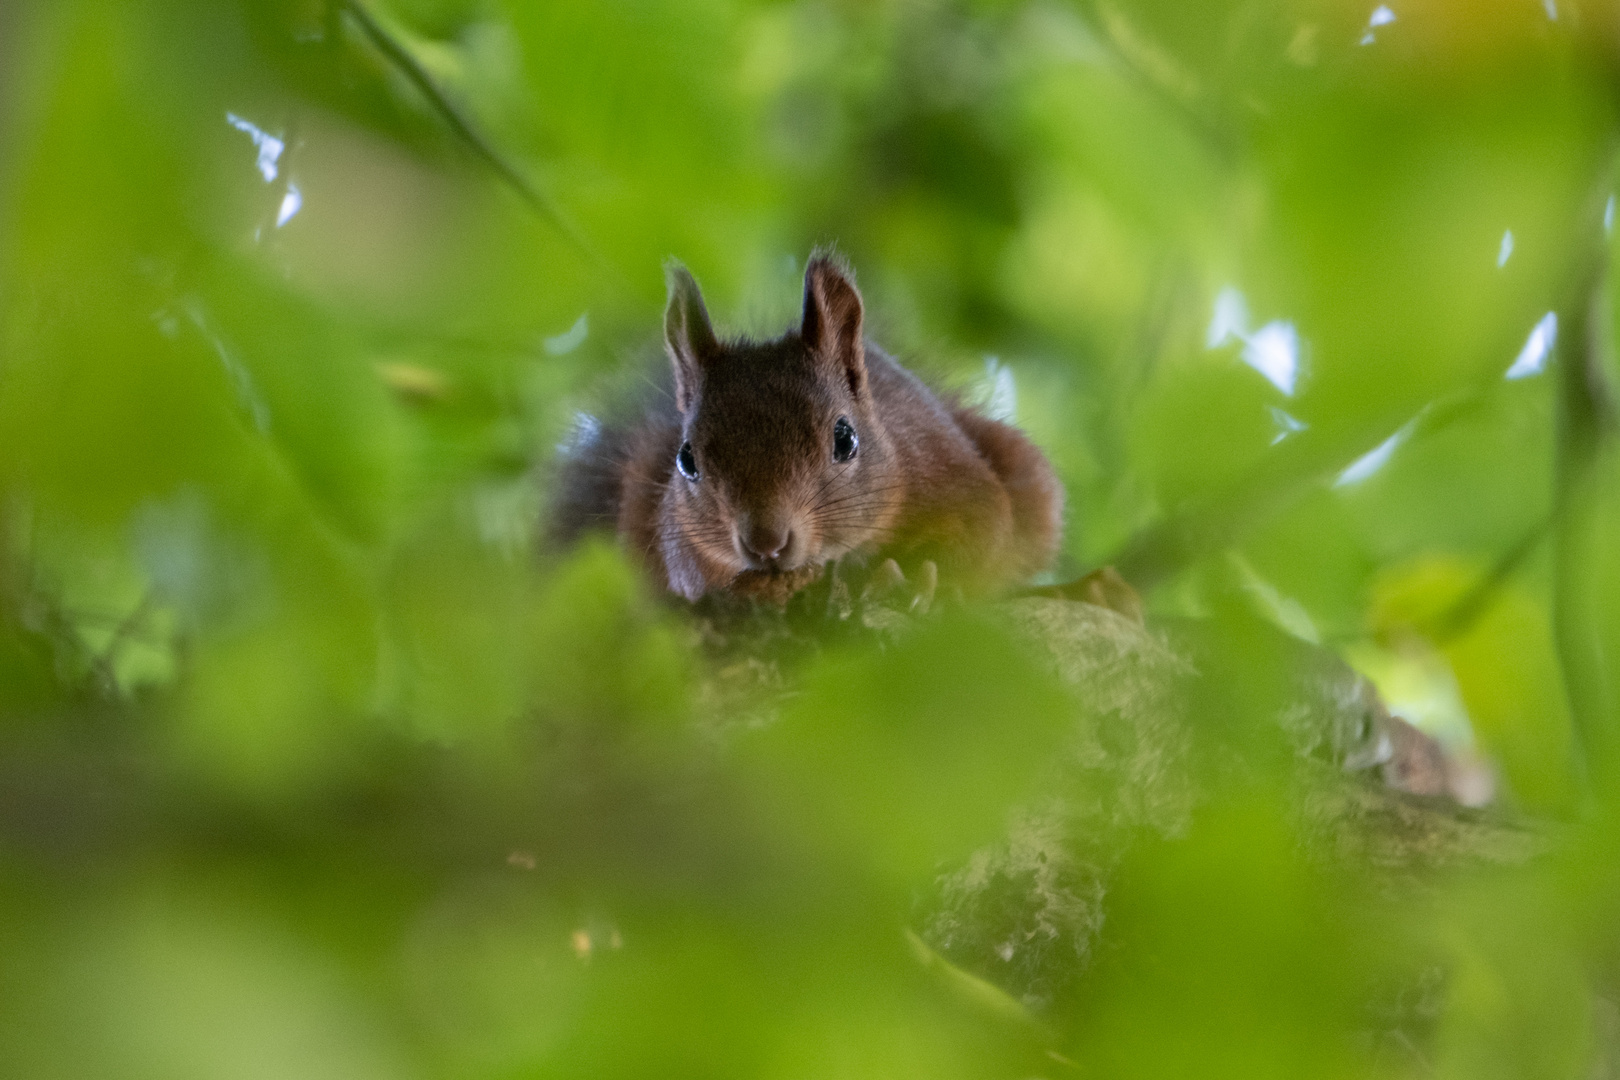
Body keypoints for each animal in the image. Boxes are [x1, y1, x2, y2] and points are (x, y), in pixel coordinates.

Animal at [550, 254, 1069, 608]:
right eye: (686, 459)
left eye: (845, 439)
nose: (766, 544)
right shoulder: (673, 530)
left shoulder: (941, 462)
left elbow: (983, 529)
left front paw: (918, 574)